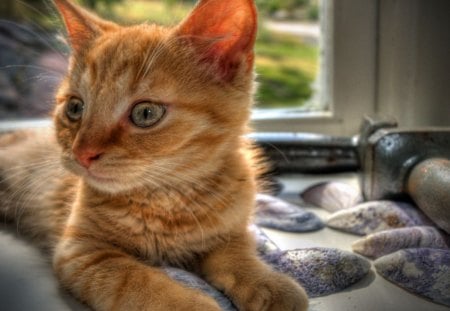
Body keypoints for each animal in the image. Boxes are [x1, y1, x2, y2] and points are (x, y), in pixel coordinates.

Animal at [0, 0, 308, 310]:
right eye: (75, 108)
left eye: (145, 113)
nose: (82, 153)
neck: (167, 201)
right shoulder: (82, 251)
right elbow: (137, 280)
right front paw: (192, 304)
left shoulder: (232, 230)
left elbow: (237, 254)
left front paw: (267, 283)